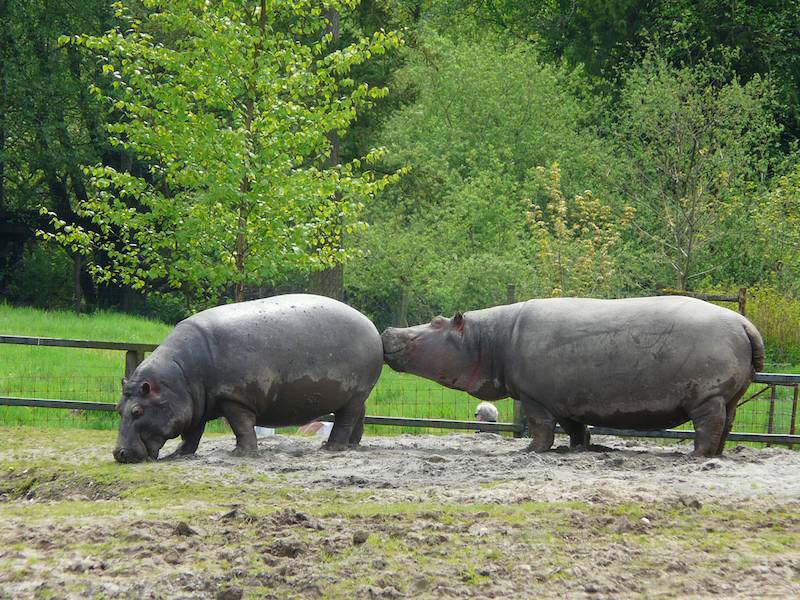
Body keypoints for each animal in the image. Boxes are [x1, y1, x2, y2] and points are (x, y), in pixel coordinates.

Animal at [113, 292, 384, 462]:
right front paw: (178, 455)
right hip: (356, 395)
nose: (119, 454)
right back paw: (352, 446)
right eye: (118, 408)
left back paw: (330, 448)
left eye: (137, 411)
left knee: (345, 421)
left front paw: (241, 454)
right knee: (359, 416)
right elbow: (192, 434)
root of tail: (372, 327)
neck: (179, 378)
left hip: (356, 394)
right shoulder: (196, 404)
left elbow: (241, 426)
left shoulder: (233, 398)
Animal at [382, 298, 764, 458]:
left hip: (707, 397)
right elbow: (576, 429)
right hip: (731, 396)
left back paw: (694, 456)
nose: (388, 330)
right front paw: (580, 449)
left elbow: (541, 429)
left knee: (709, 426)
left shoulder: (535, 398)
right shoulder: (565, 400)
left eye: (436, 321)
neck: (488, 339)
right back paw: (716, 456)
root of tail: (744, 322)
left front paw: (528, 451)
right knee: (726, 425)